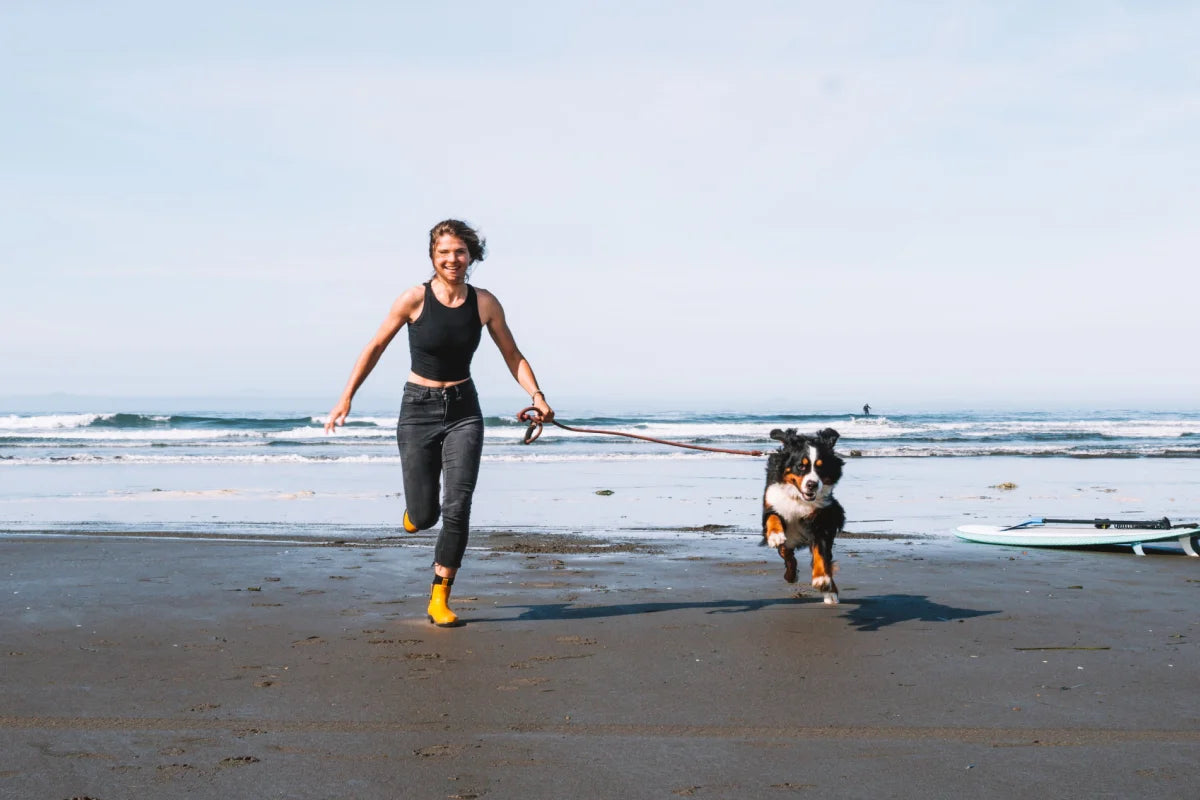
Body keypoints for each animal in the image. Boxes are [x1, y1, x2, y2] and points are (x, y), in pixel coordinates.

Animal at [758, 429, 844, 604]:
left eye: (821, 468)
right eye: (801, 466)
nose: (812, 484)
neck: (798, 498)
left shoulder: (821, 521)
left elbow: (821, 554)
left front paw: (821, 579)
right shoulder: (771, 503)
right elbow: (773, 520)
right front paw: (776, 536)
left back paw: (831, 592)